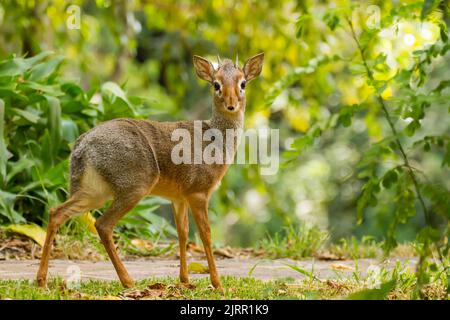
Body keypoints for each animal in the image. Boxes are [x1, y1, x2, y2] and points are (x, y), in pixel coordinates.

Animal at [38, 53, 266, 290]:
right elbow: (206, 234)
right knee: (103, 224)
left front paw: (184, 280)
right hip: (134, 186)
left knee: (56, 212)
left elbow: (183, 233)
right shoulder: (198, 192)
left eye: (243, 83)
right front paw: (218, 284)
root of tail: (81, 146)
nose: (231, 104)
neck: (216, 142)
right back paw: (128, 281)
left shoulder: (179, 197)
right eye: (216, 84)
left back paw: (41, 280)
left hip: (93, 191)